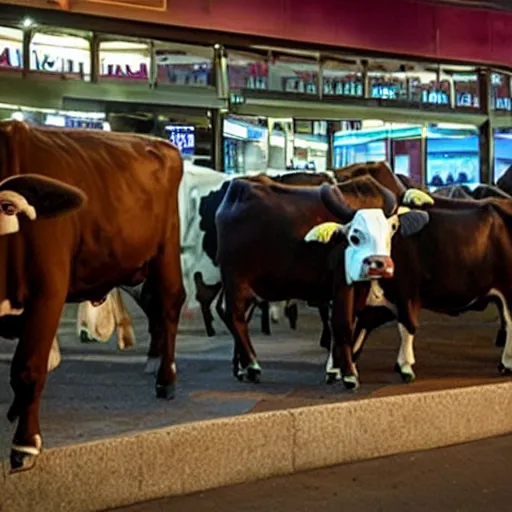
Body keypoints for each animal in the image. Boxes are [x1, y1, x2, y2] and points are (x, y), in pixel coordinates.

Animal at [0, 121, 184, 472]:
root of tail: (159, 143)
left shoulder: (48, 292)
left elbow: (28, 368)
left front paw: (25, 445)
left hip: (166, 250)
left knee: (168, 304)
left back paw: (166, 379)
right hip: (130, 263)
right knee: (152, 304)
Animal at [214, 174, 430, 386]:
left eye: (390, 231)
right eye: (355, 237)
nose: (380, 264)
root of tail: (237, 190)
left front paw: (335, 370)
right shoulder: (342, 283)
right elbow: (343, 324)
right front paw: (349, 374)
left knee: (232, 313)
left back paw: (241, 368)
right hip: (236, 280)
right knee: (235, 315)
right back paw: (251, 366)